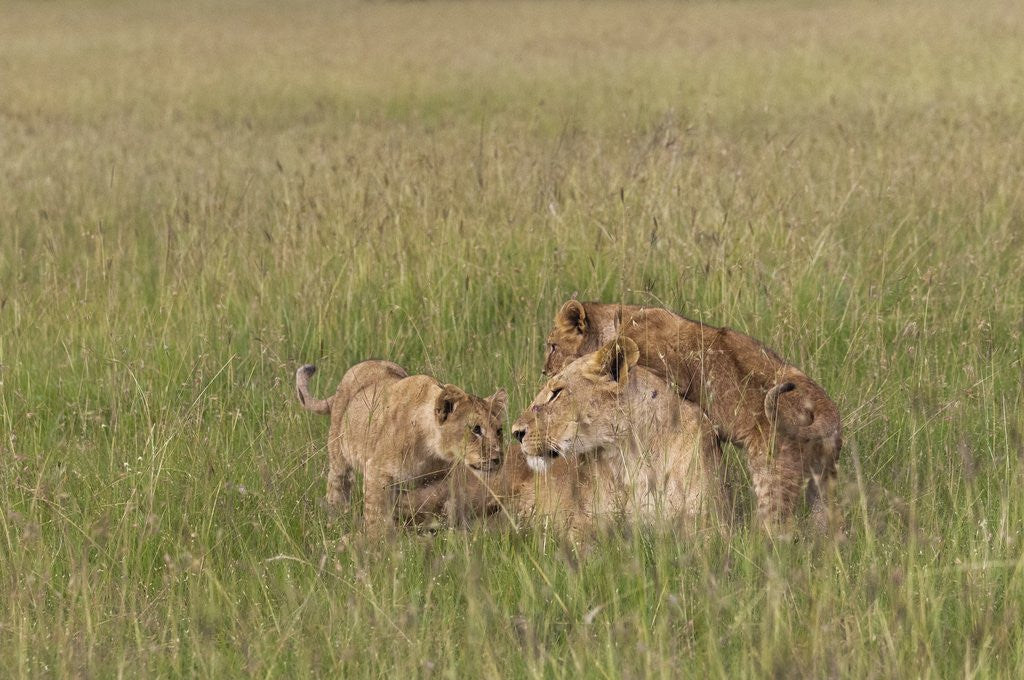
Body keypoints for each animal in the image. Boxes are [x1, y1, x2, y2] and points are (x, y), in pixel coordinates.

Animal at [295, 361, 507, 532]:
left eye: (499, 431)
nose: (497, 458)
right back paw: (334, 522)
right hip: (339, 457)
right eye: (476, 430)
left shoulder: (437, 481)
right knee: (337, 488)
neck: (431, 451)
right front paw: (378, 547)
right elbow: (376, 518)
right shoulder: (376, 472)